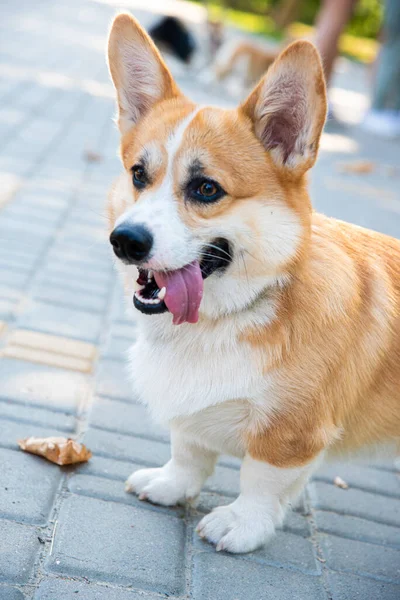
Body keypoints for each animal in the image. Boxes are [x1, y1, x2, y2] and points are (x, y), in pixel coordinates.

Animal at [107, 12, 400, 552]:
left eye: (206, 189)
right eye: (138, 174)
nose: (125, 241)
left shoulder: (292, 433)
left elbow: (262, 479)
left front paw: (240, 525)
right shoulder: (192, 418)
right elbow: (189, 450)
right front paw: (171, 484)